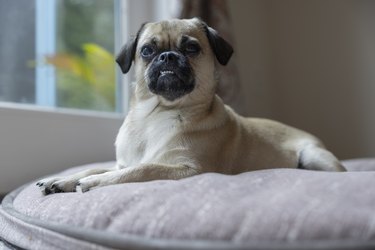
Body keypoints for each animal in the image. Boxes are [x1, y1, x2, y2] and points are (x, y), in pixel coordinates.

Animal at [38, 18, 346, 195]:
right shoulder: (122, 162)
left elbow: (140, 170)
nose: (167, 56)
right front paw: (65, 179)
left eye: (191, 48)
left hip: (314, 156)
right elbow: (99, 169)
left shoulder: (187, 169)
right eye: (147, 51)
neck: (156, 114)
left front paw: (93, 183)